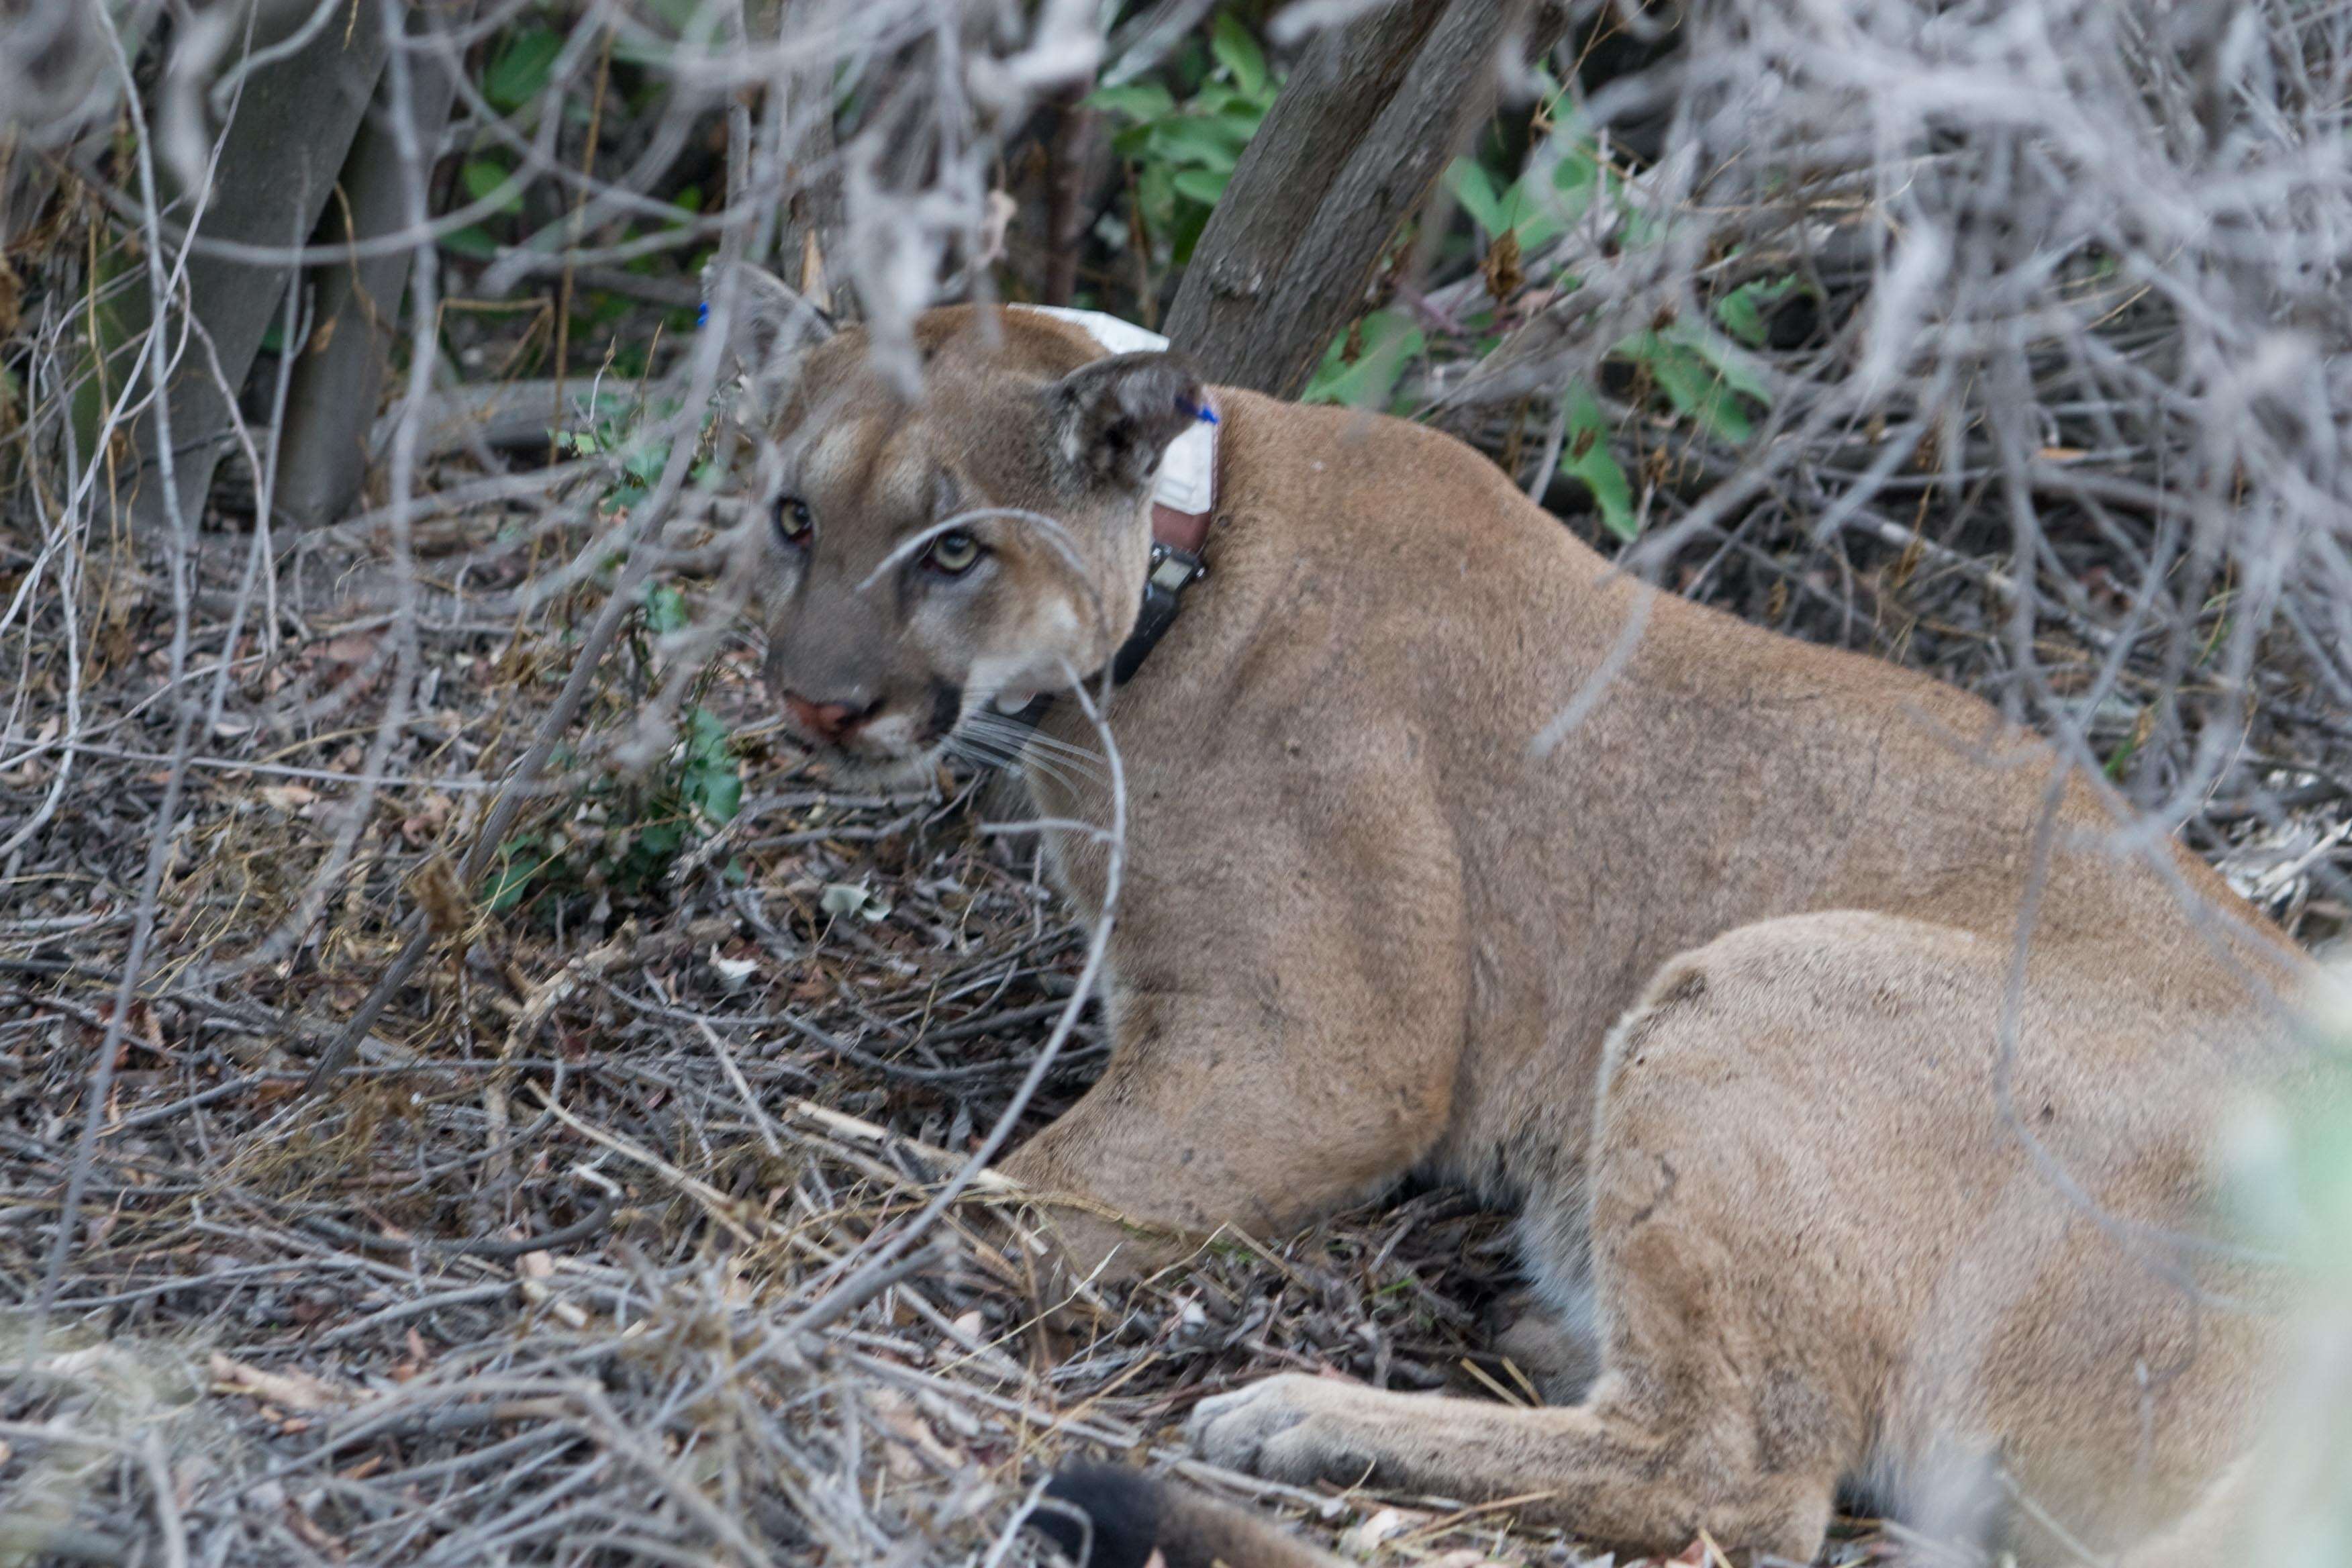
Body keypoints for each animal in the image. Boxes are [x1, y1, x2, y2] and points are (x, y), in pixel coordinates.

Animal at [701, 266, 2314, 1568]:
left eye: (953, 548)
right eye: (794, 519)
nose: (815, 702)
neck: (1179, 562)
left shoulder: (1317, 1054)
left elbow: (1007, 1199)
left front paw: (859, 1237)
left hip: (1761, 986)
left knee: (1735, 1480)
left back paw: (1301, 1415)